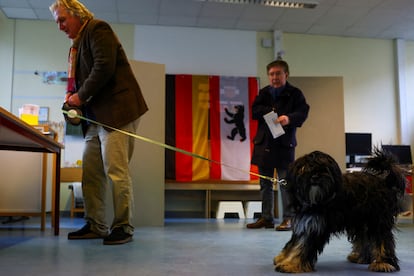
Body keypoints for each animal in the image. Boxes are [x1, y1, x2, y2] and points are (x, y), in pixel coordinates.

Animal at [274, 149, 406, 272]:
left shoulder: (316, 226)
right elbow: (294, 244)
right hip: (361, 220)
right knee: (365, 238)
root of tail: (382, 180)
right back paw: (360, 257)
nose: (315, 176)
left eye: (324, 169)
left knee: (383, 239)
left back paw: (383, 263)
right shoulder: (306, 223)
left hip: (377, 219)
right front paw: (283, 259)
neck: (315, 200)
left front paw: (291, 265)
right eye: (306, 168)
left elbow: (303, 246)